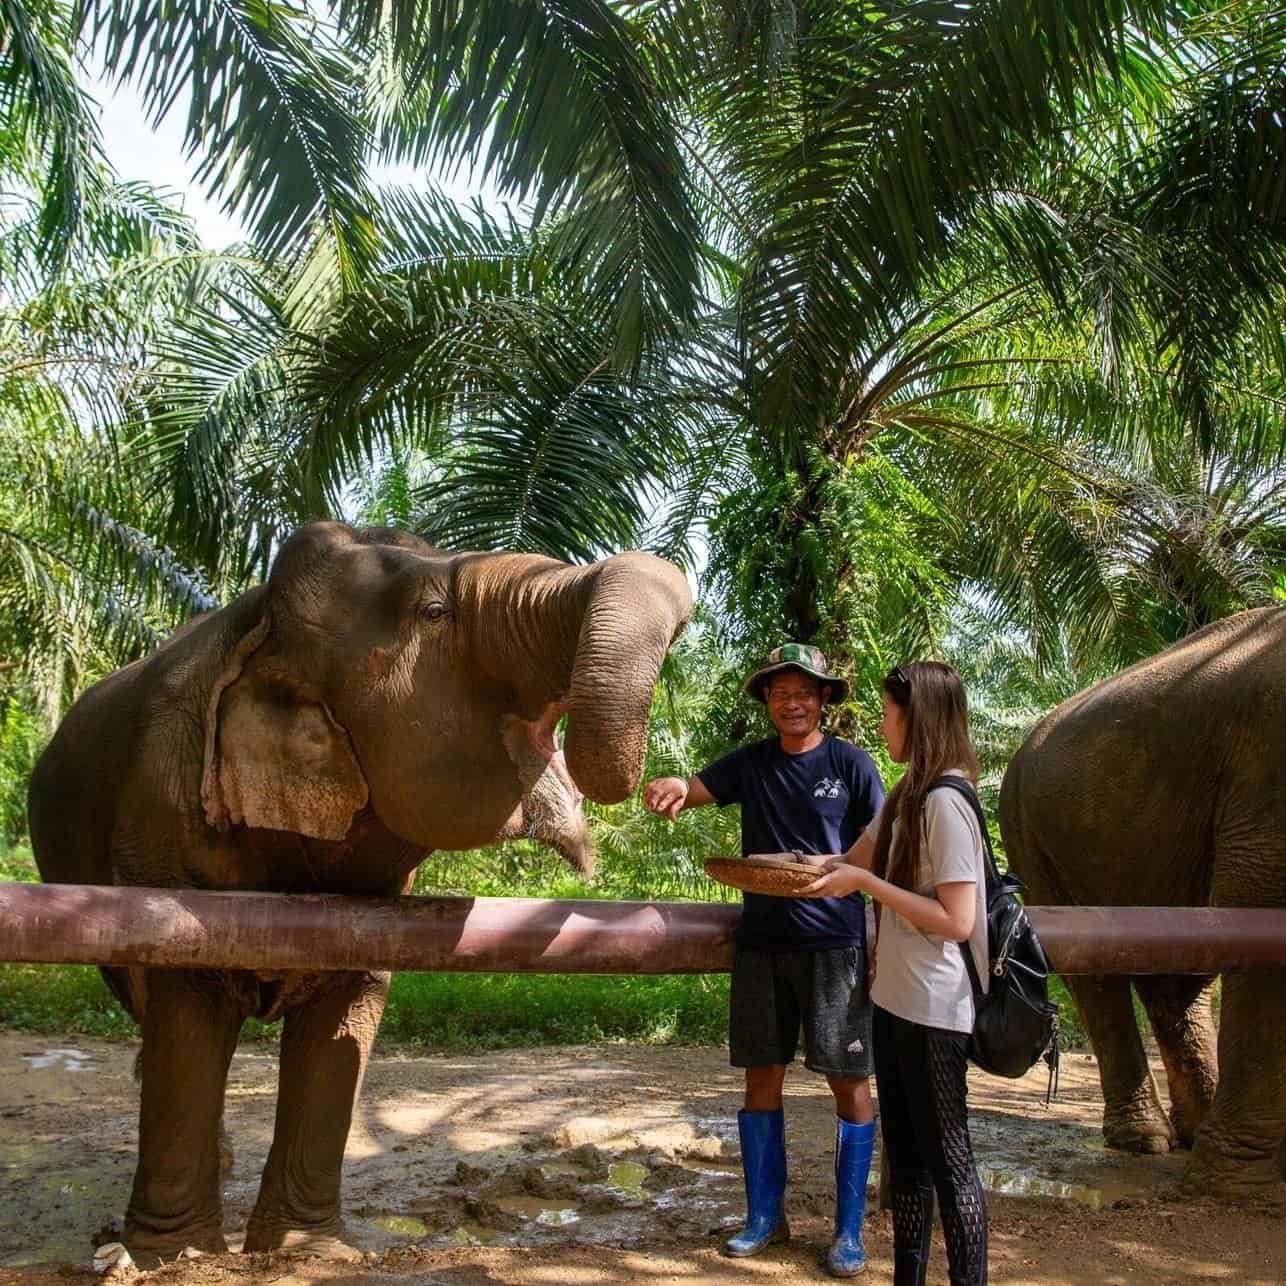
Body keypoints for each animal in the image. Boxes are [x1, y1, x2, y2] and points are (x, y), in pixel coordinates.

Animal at [26, 521, 692, 1264]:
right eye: (435, 613)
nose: (657, 797)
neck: (257, 631)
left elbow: (341, 1014)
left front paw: (310, 1250)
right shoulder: (160, 828)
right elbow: (185, 1002)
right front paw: (175, 1257)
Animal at [998, 605, 1286, 1196]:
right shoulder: (1267, 775)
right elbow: (1259, 909)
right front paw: (1237, 1185)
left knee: (1175, 969)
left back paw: (1191, 1131)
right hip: (1031, 836)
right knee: (1098, 974)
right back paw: (1147, 1140)